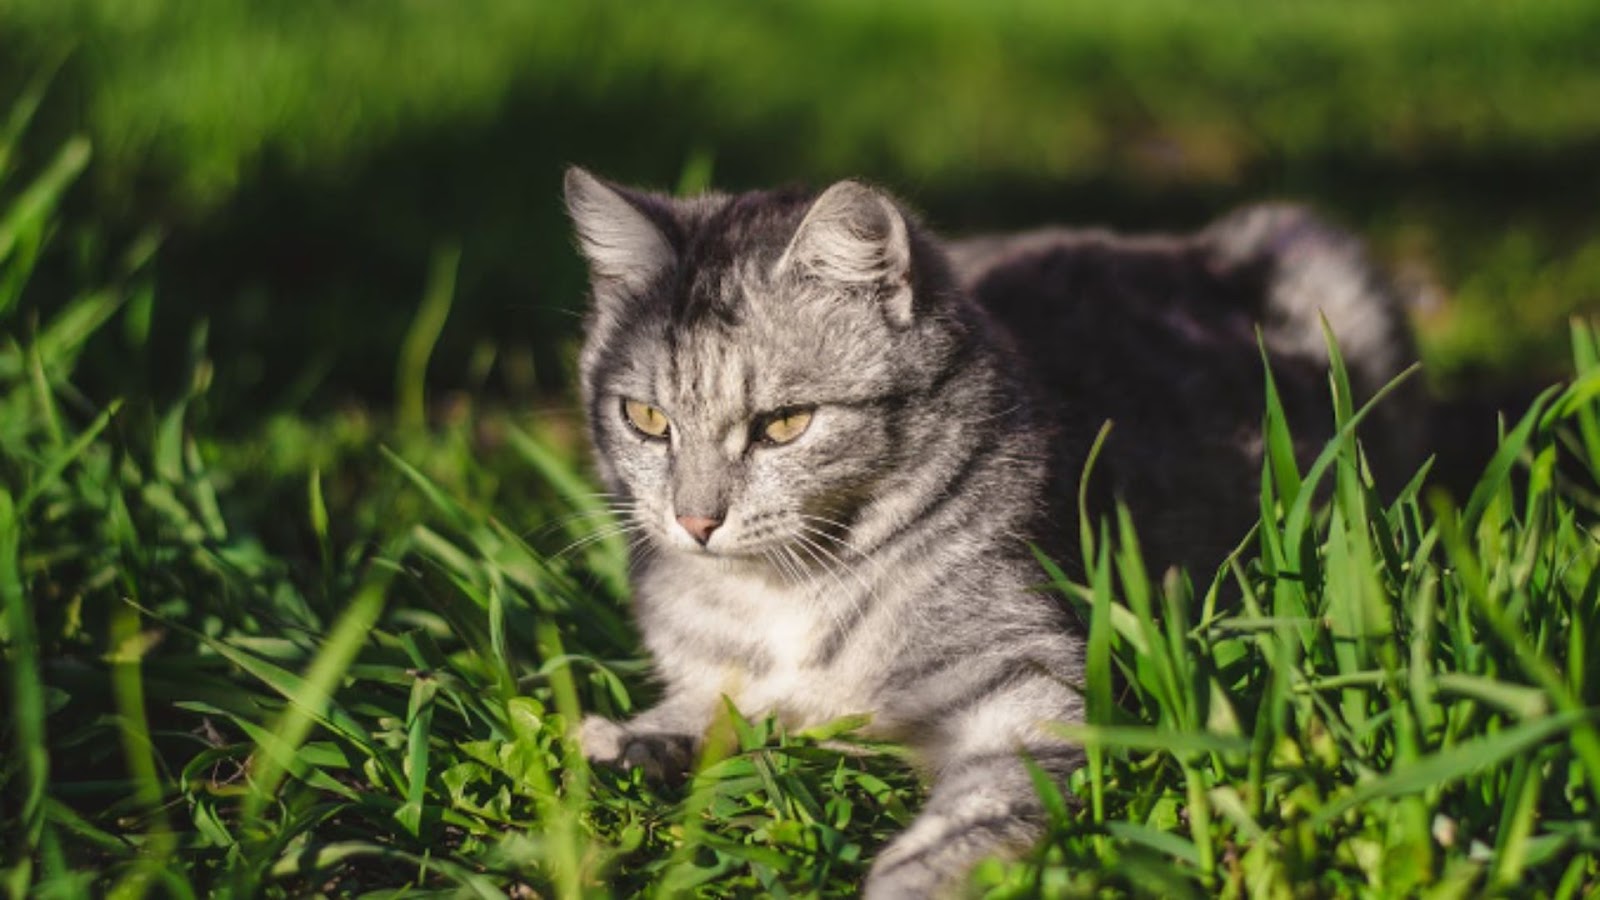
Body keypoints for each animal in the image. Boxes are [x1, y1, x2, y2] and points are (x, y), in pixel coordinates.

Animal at [563, 166, 1414, 890]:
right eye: (645, 419)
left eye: (786, 424)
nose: (695, 521)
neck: (782, 594)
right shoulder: (722, 675)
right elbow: (701, 704)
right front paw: (626, 741)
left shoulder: (1025, 687)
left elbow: (976, 809)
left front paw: (914, 877)